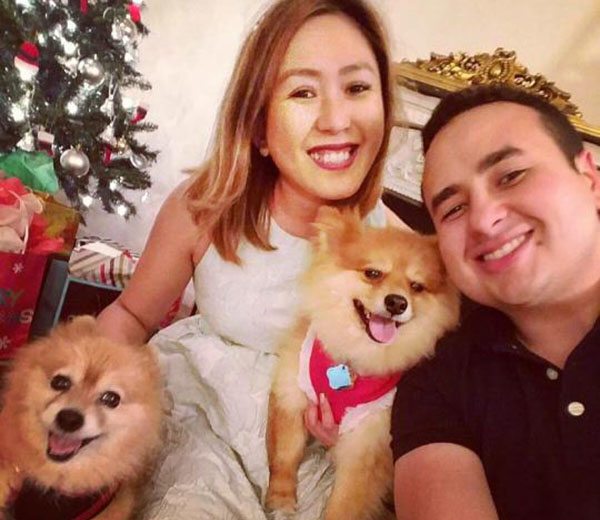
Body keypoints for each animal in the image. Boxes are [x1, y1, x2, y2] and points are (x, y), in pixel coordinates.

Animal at [266, 207, 460, 520]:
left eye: (416, 286)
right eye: (373, 273)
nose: (397, 302)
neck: (353, 359)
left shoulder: (367, 449)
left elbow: (344, 504)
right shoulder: (291, 394)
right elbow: (285, 453)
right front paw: (281, 499)